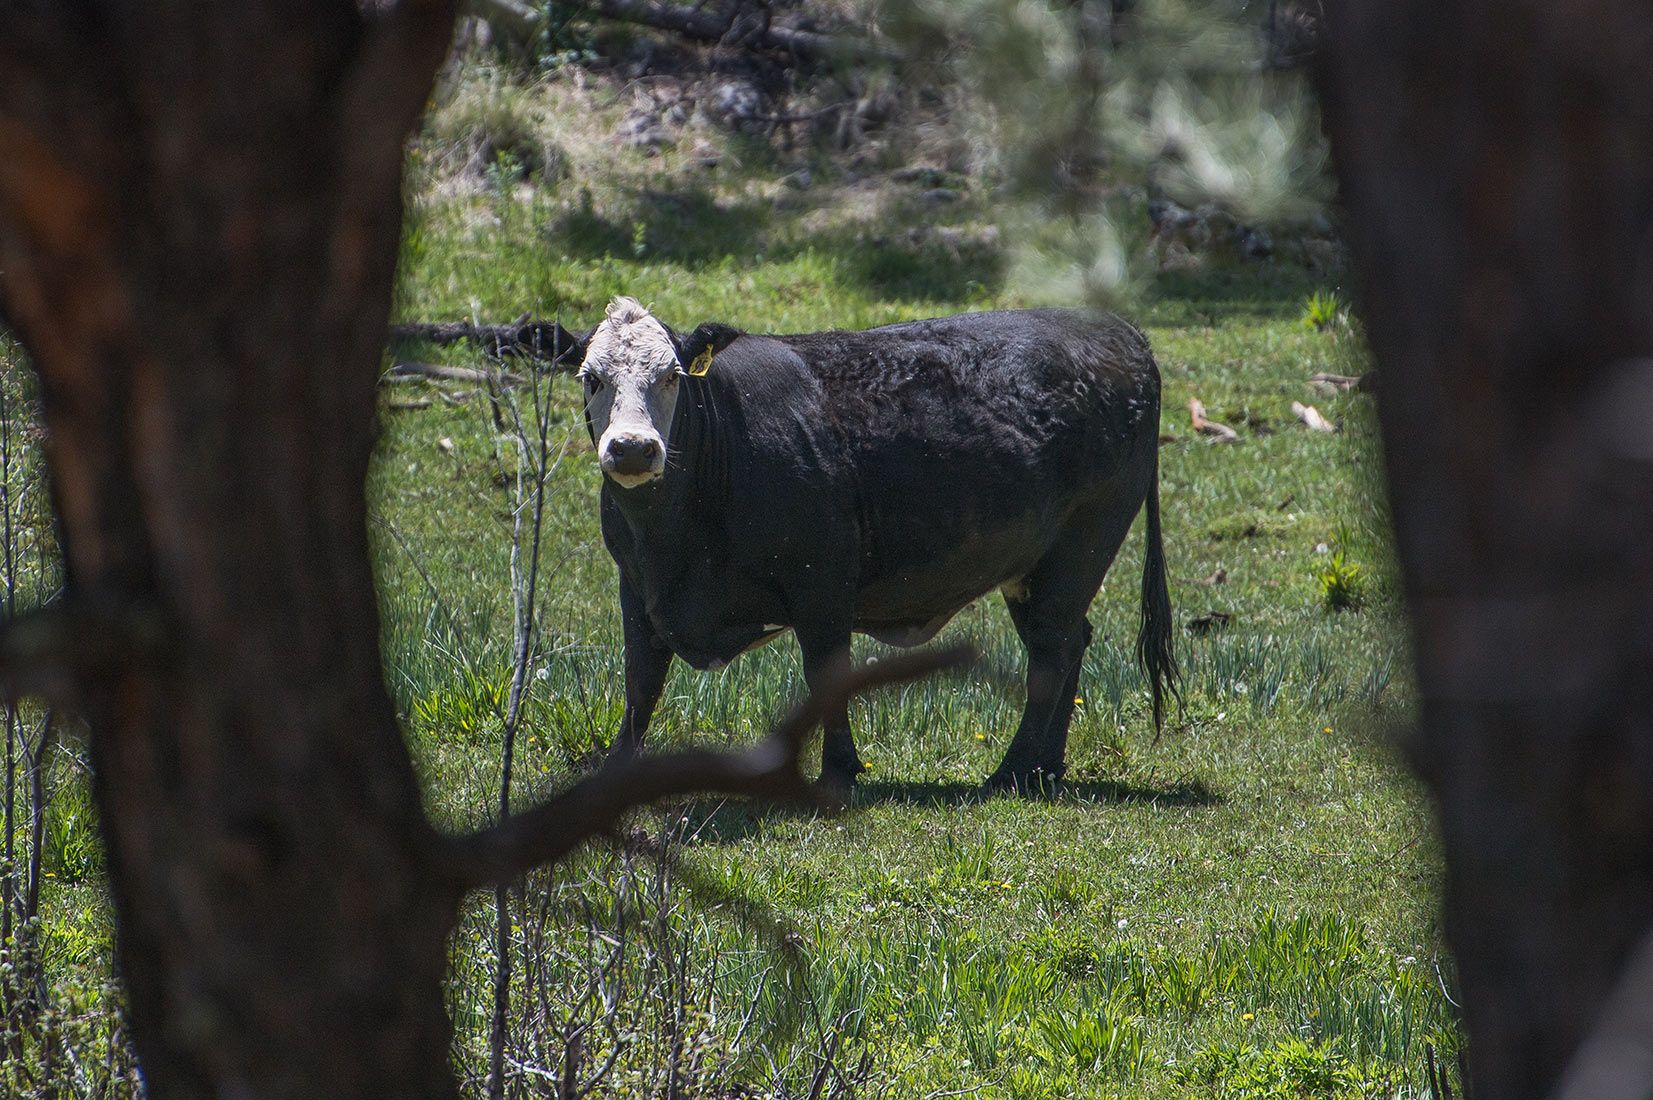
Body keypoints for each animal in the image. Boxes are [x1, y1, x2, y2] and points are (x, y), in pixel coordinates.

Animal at [550, 296, 1178, 794]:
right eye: (591, 378)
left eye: (673, 376)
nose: (633, 448)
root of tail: (1118, 331)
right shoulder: (637, 586)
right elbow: (641, 680)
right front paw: (615, 772)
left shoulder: (823, 579)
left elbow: (826, 672)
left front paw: (840, 770)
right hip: (1034, 569)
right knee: (1066, 647)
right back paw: (1046, 768)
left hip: (1082, 545)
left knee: (1053, 650)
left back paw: (1014, 770)